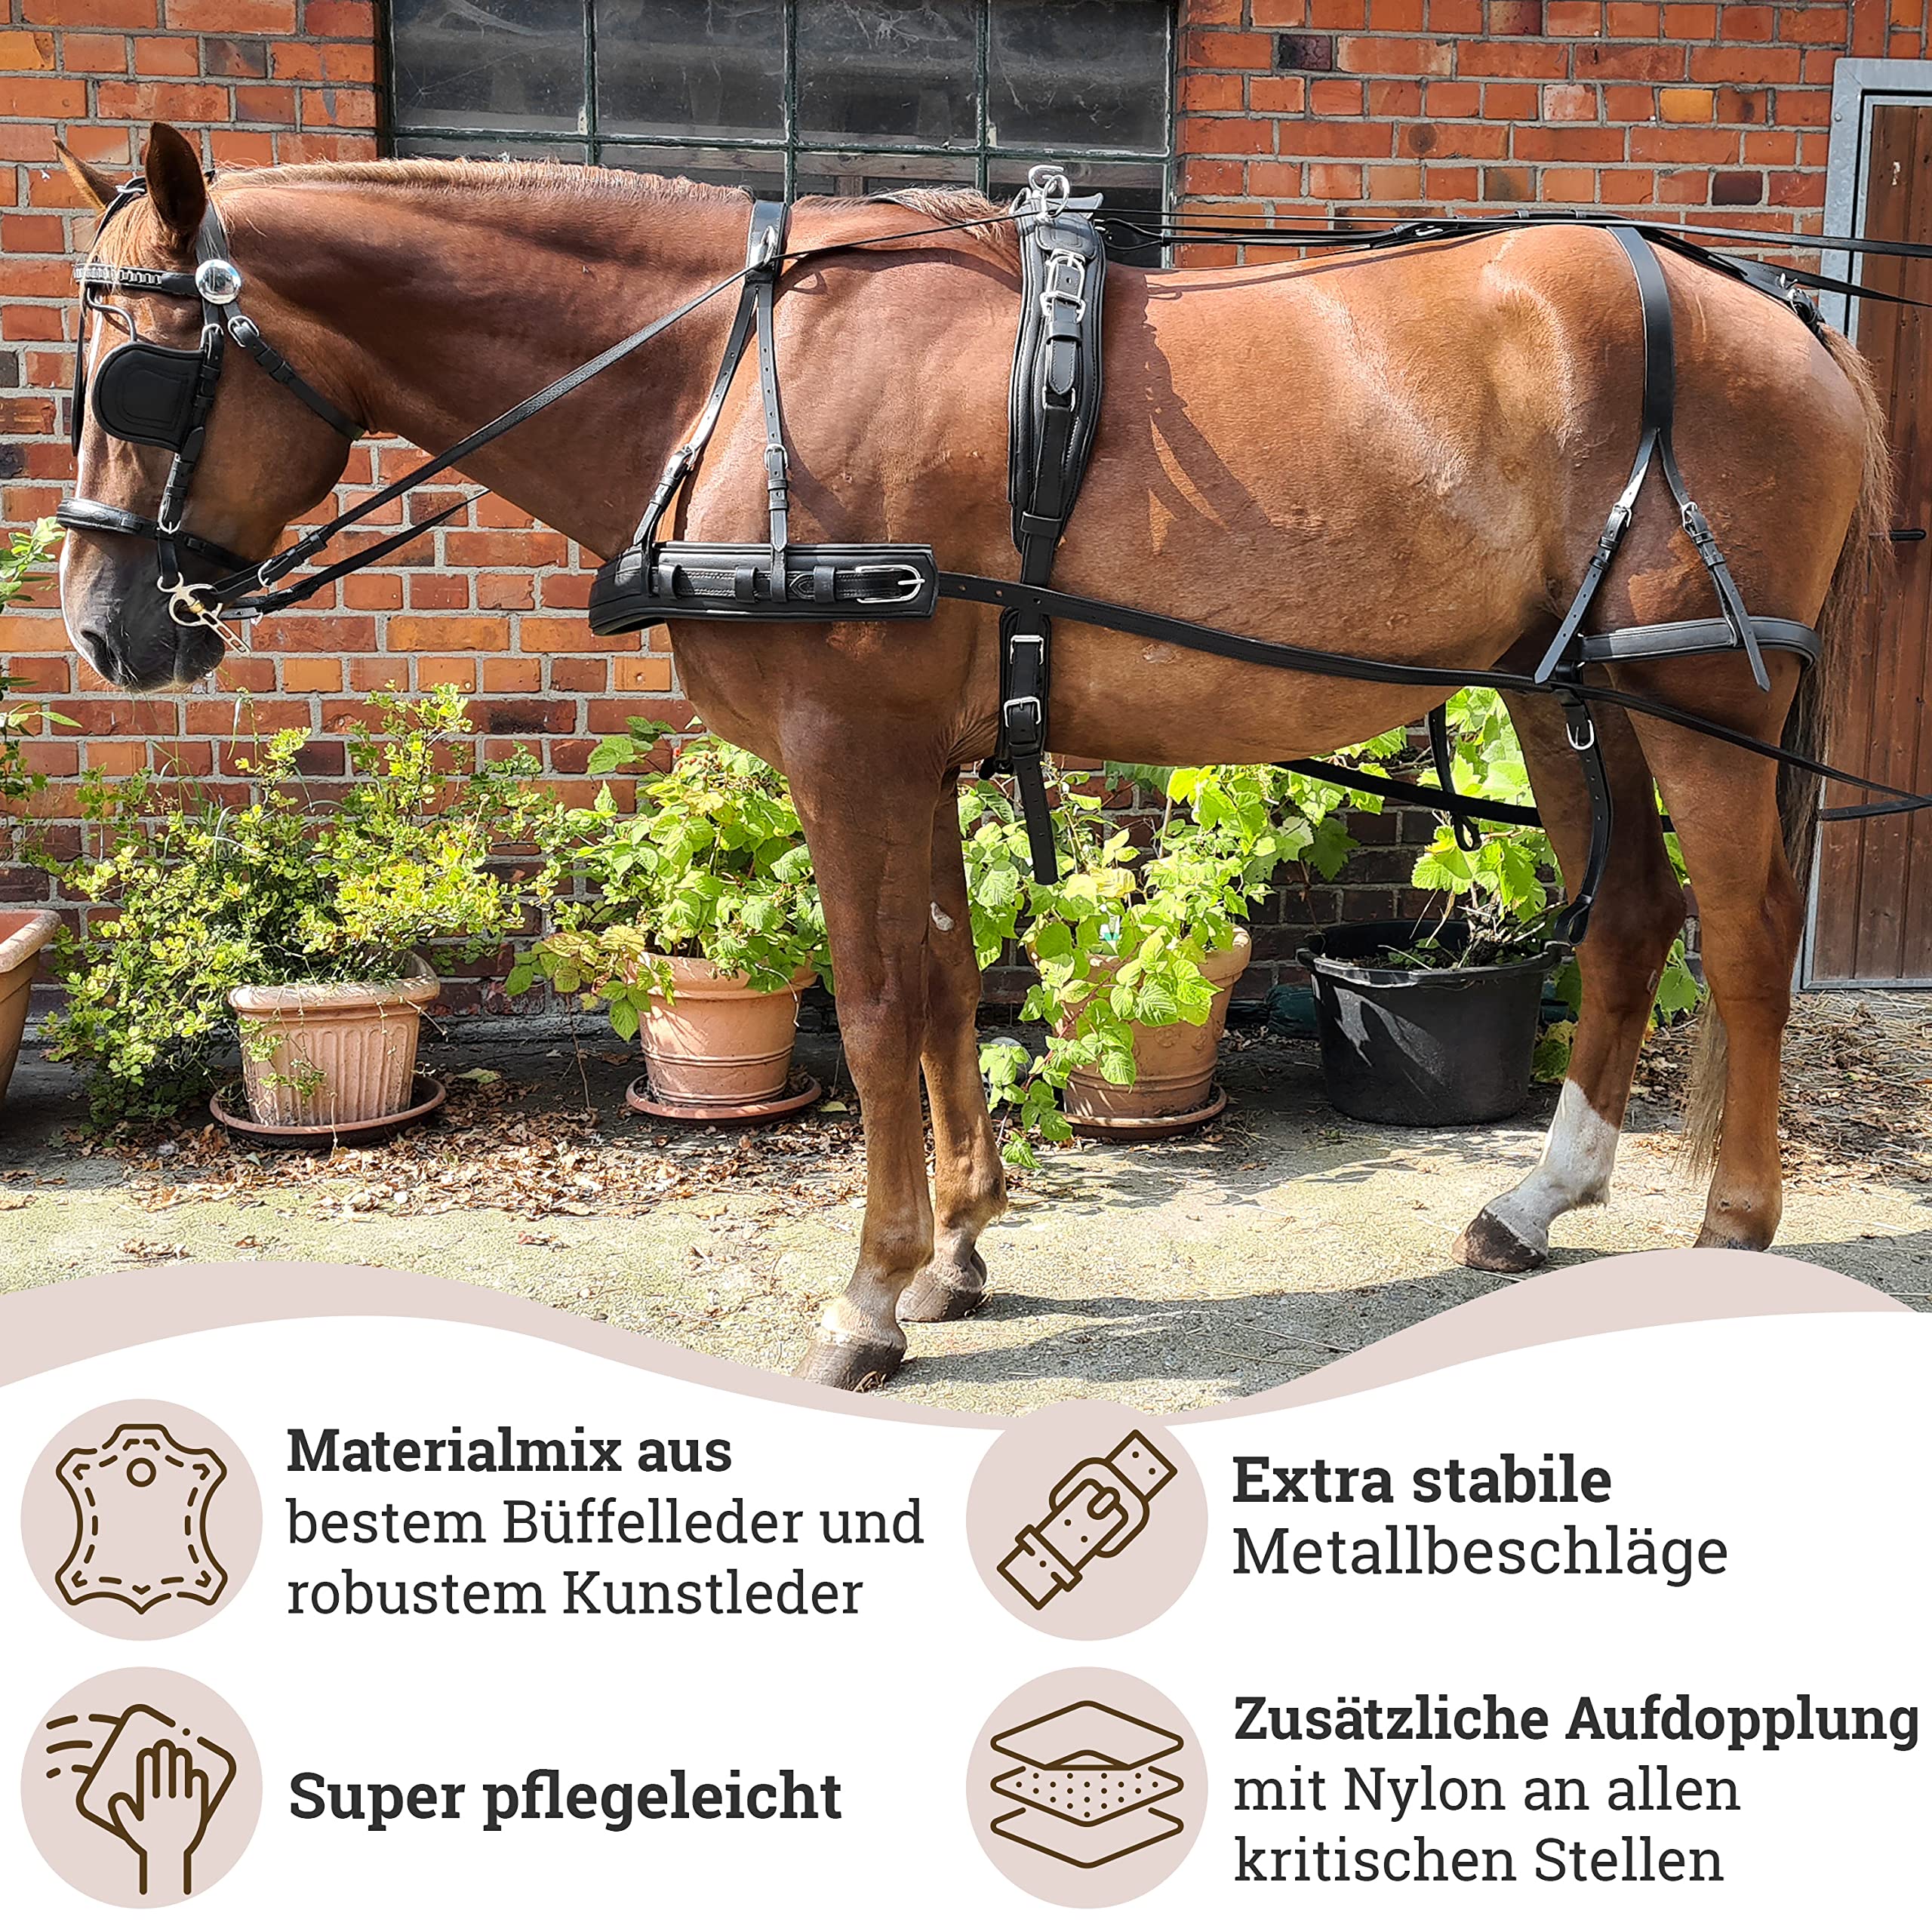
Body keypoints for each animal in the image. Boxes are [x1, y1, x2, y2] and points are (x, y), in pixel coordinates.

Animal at [55, 125, 1889, 1392]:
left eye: (138, 376)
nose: (100, 628)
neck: (730, 366)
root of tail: (1776, 315)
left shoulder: (846, 752)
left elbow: (873, 1005)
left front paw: (869, 1296)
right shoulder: (909, 761)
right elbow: (942, 983)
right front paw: (955, 1251)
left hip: (1701, 690)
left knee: (1738, 934)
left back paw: (1731, 1227)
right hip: (1561, 687)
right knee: (1636, 916)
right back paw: (1536, 1201)